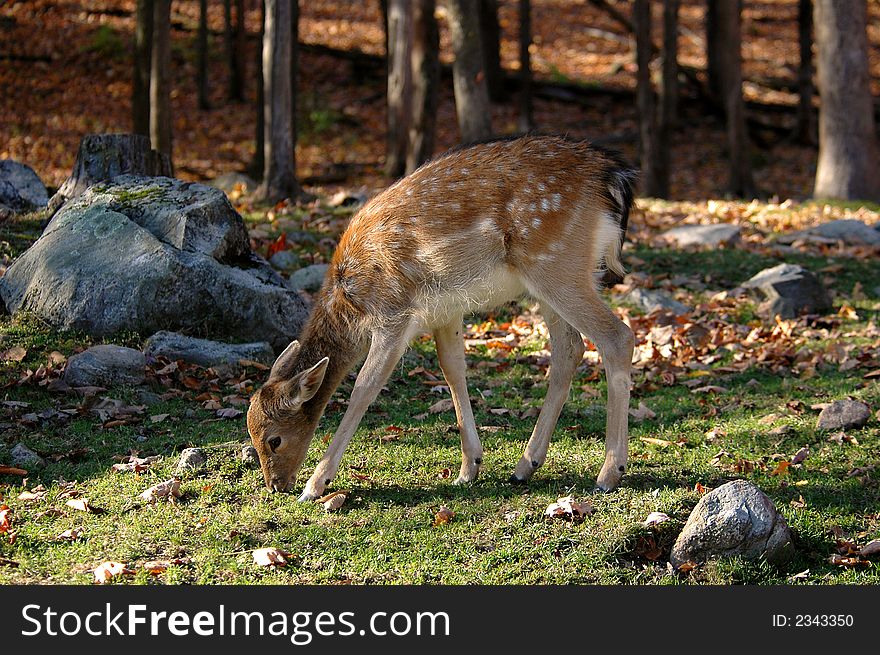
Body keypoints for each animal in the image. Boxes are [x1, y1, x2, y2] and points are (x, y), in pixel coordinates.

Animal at [244, 133, 636, 502]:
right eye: (251, 433)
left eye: (274, 439)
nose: (275, 486)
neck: (350, 301)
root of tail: (613, 176)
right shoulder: (445, 312)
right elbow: (453, 370)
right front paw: (469, 468)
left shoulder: (393, 313)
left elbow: (364, 387)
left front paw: (316, 484)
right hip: (551, 278)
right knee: (569, 349)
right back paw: (525, 466)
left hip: (557, 264)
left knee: (618, 337)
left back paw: (609, 473)